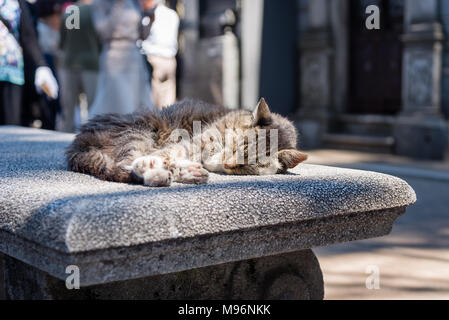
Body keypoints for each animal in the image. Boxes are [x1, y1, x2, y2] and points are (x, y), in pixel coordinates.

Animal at [66, 99, 306, 186]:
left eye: (250, 164)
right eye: (238, 144)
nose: (228, 163)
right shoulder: (193, 142)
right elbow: (166, 154)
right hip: (139, 131)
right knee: (127, 164)